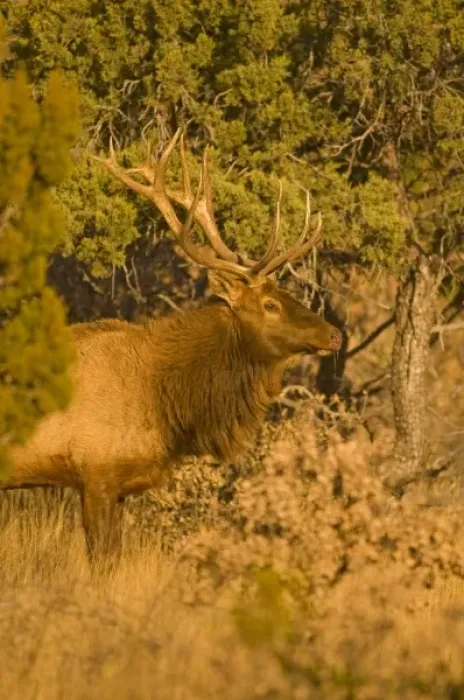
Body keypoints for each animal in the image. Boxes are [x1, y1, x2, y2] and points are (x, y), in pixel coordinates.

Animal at [0, 129, 342, 565]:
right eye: (271, 304)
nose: (334, 334)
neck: (167, 399)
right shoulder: (96, 473)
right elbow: (102, 561)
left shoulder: (120, 485)